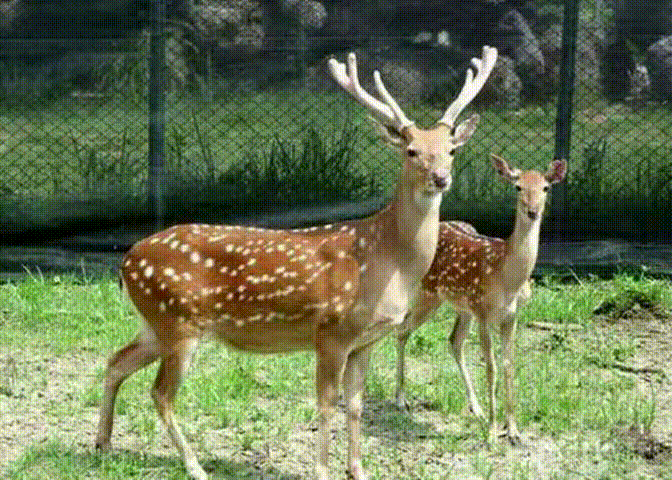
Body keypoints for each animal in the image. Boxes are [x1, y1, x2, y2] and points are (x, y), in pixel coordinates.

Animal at [95, 46, 497, 480]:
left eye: (451, 149)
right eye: (411, 150)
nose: (440, 177)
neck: (388, 260)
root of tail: (126, 261)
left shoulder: (367, 340)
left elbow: (355, 405)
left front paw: (358, 469)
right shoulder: (332, 331)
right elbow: (327, 404)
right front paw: (322, 470)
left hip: (155, 324)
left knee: (115, 362)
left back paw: (103, 444)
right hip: (179, 321)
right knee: (160, 393)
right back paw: (195, 466)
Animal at [394, 153, 567, 444]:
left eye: (546, 188)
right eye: (517, 187)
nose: (533, 211)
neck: (507, 277)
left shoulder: (511, 316)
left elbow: (509, 366)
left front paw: (513, 430)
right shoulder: (484, 312)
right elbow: (492, 368)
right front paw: (493, 433)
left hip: (462, 306)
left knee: (454, 341)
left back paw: (475, 407)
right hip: (430, 293)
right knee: (403, 329)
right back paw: (400, 399)